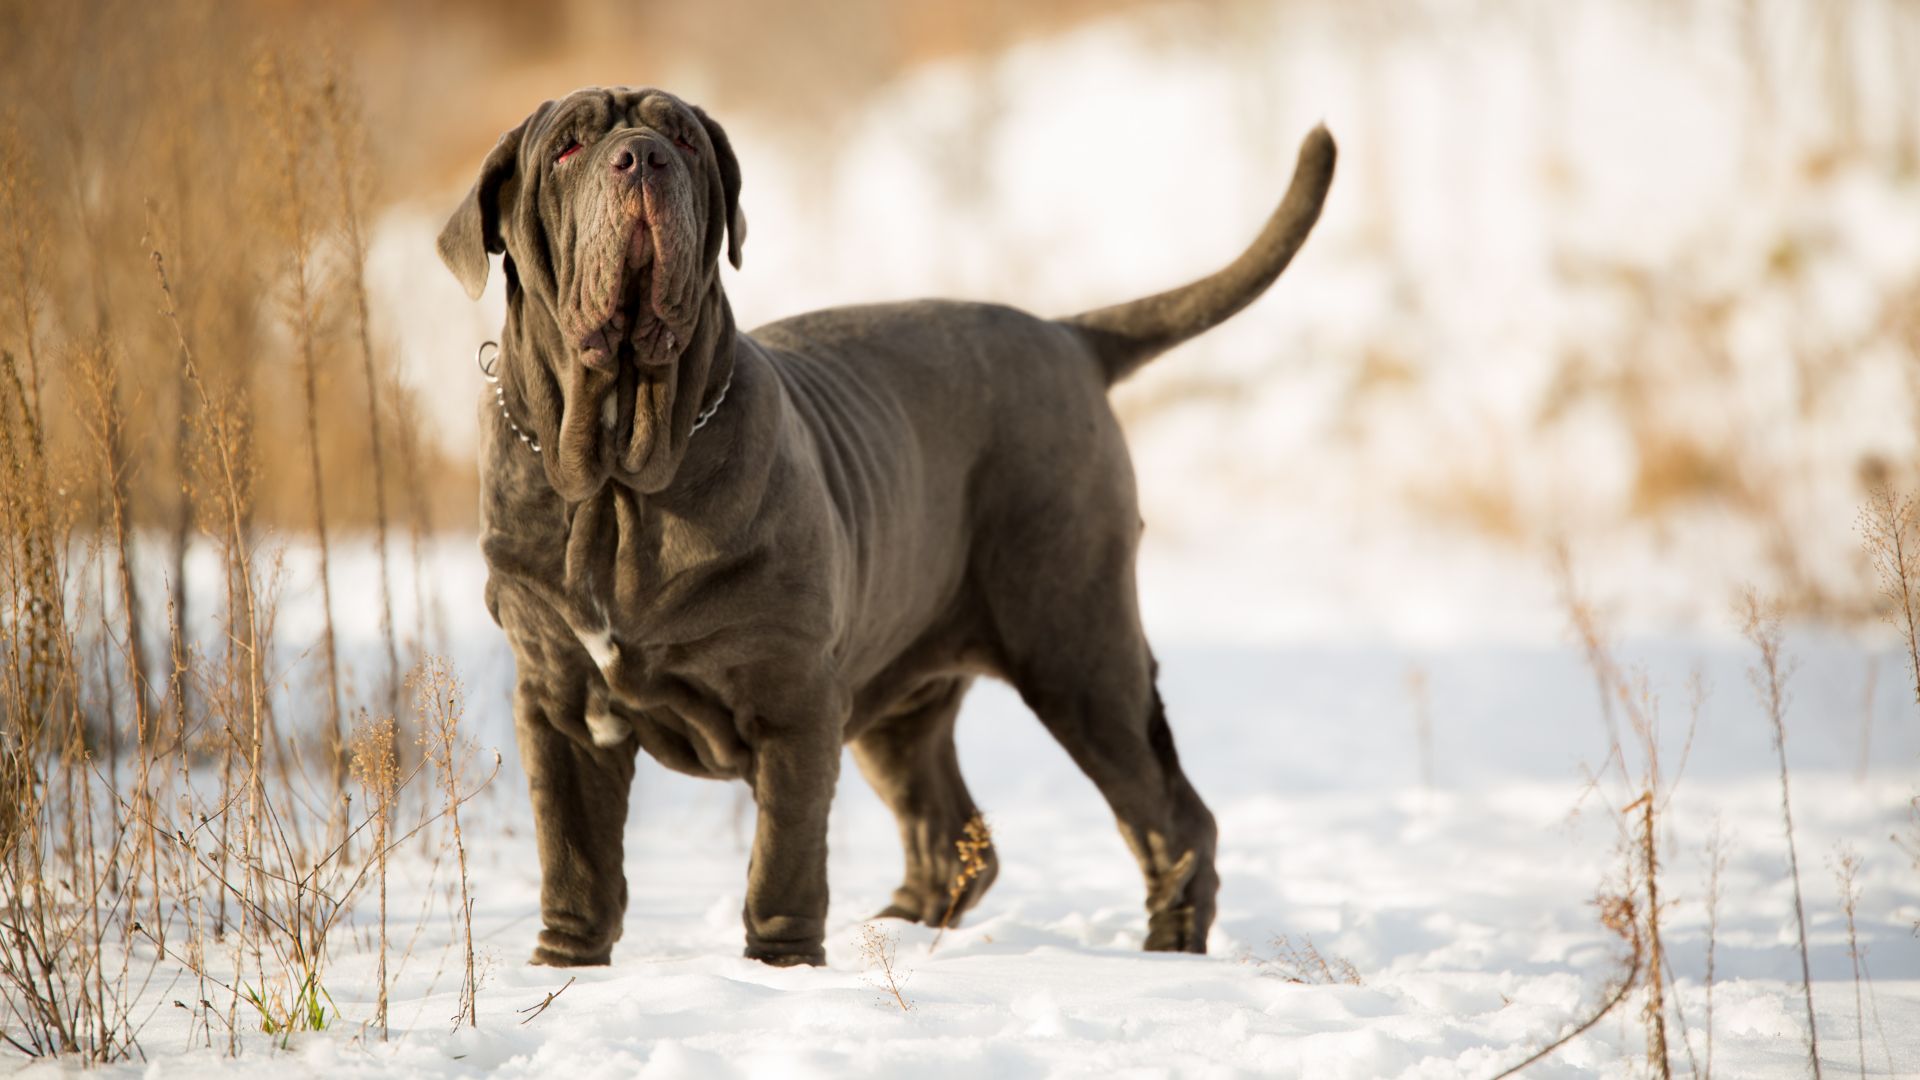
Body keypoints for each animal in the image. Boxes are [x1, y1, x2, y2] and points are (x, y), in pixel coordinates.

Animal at [435, 82, 1336, 957]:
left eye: (684, 139)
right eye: (568, 148)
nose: (643, 157)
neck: (620, 478)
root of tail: (1068, 336)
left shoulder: (795, 703)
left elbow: (783, 861)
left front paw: (781, 969)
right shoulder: (558, 704)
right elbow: (574, 858)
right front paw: (565, 967)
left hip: (1078, 648)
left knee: (1171, 816)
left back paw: (1167, 946)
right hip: (905, 699)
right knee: (952, 831)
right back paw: (898, 930)